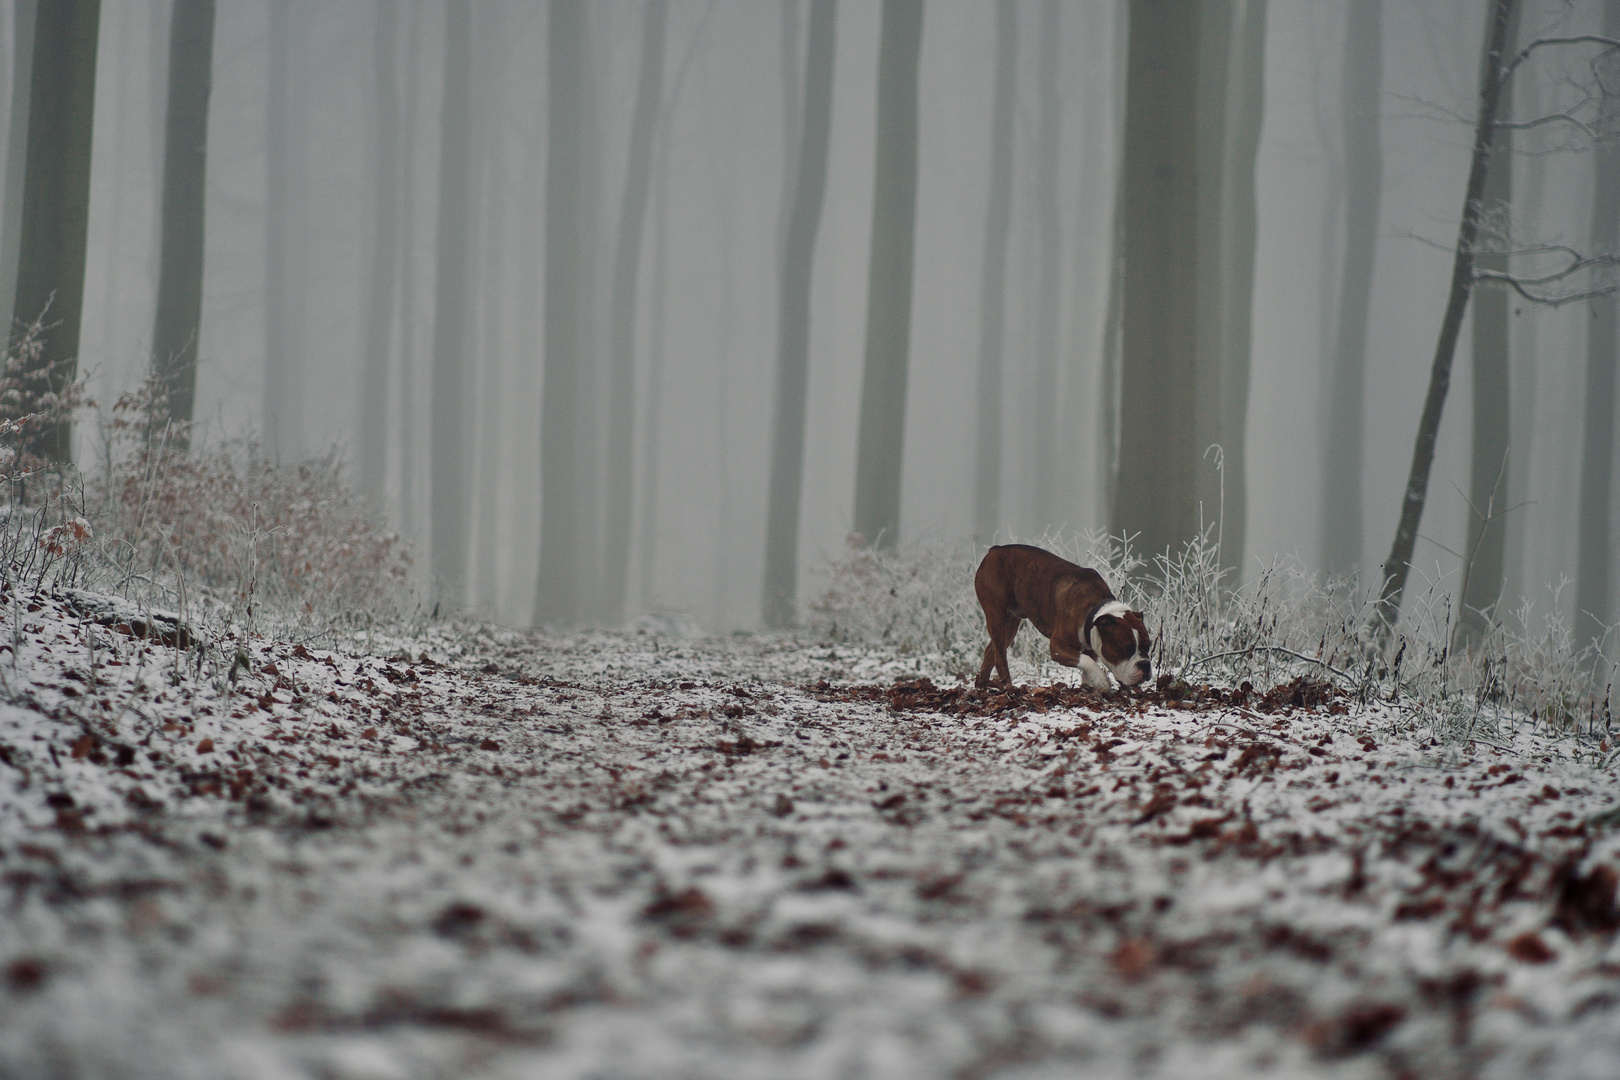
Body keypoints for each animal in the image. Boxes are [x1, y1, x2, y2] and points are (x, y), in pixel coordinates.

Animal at [972, 544, 1153, 689]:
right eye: (1126, 649)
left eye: (1148, 646)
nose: (1145, 664)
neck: (1093, 610)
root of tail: (995, 550)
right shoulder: (1058, 647)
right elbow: (1086, 662)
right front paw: (1101, 680)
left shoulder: (1091, 647)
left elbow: (1087, 665)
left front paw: (1089, 685)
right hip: (997, 616)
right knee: (1000, 655)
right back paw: (1007, 686)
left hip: (1010, 624)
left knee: (992, 650)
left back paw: (982, 683)